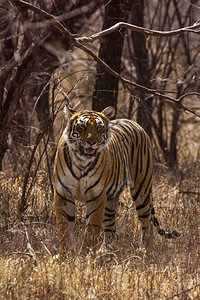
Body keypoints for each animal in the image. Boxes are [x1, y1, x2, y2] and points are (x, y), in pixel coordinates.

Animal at [54, 105, 179, 253]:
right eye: (82, 126)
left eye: (99, 128)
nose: (92, 142)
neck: (81, 162)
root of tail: (136, 123)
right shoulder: (63, 194)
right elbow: (63, 228)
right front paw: (65, 253)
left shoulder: (96, 196)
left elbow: (91, 229)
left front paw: (86, 254)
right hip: (111, 200)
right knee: (111, 228)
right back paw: (106, 252)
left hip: (141, 191)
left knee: (147, 222)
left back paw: (145, 250)